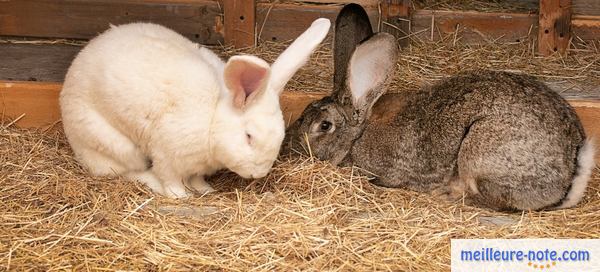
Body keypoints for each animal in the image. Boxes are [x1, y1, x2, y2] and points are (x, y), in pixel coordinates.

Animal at [59, 18, 332, 198]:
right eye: (248, 136)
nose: (258, 174)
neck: (212, 118)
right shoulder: (167, 154)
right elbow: (171, 178)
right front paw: (182, 195)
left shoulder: (196, 166)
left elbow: (196, 177)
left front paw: (204, 189)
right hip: (115, 145)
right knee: (120, 171)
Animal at [284, 4, 592, 212]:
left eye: (324, 125)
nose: (290, 147)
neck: (359, 133)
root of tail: (572, 169)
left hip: (479, 151)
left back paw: (449, 195)